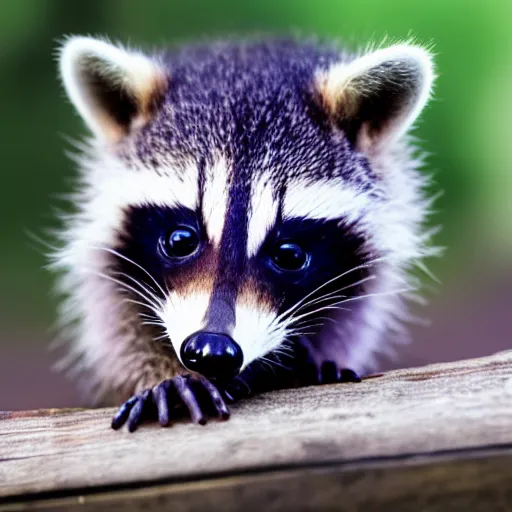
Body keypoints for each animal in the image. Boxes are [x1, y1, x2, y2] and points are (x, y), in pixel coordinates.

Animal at [52, 34, 436, 430]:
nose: (211, 350)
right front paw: (166, 375)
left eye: (289, 255)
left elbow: (354, 317)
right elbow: (116, 323)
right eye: (180, 240)